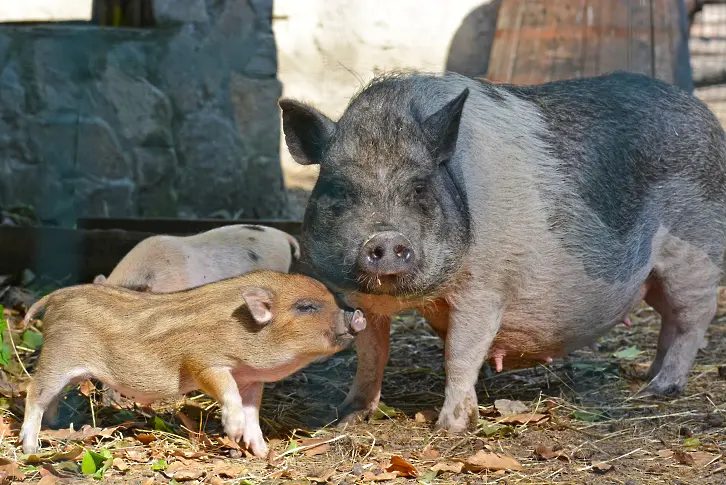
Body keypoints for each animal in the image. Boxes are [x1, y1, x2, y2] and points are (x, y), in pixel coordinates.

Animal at [280, 71, 726, 432]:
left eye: (420, 189)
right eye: (339, 190)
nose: (386, 238)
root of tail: (704, 115)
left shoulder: (485, 289)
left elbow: (460, 354)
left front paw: (450, 429)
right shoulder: (361, 300)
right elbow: (372, 355)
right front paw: (348, 418)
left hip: (696, 256)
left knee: (693, 319)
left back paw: (661, 388)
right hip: (655, 278)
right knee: (669, 320)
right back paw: (647, 378)